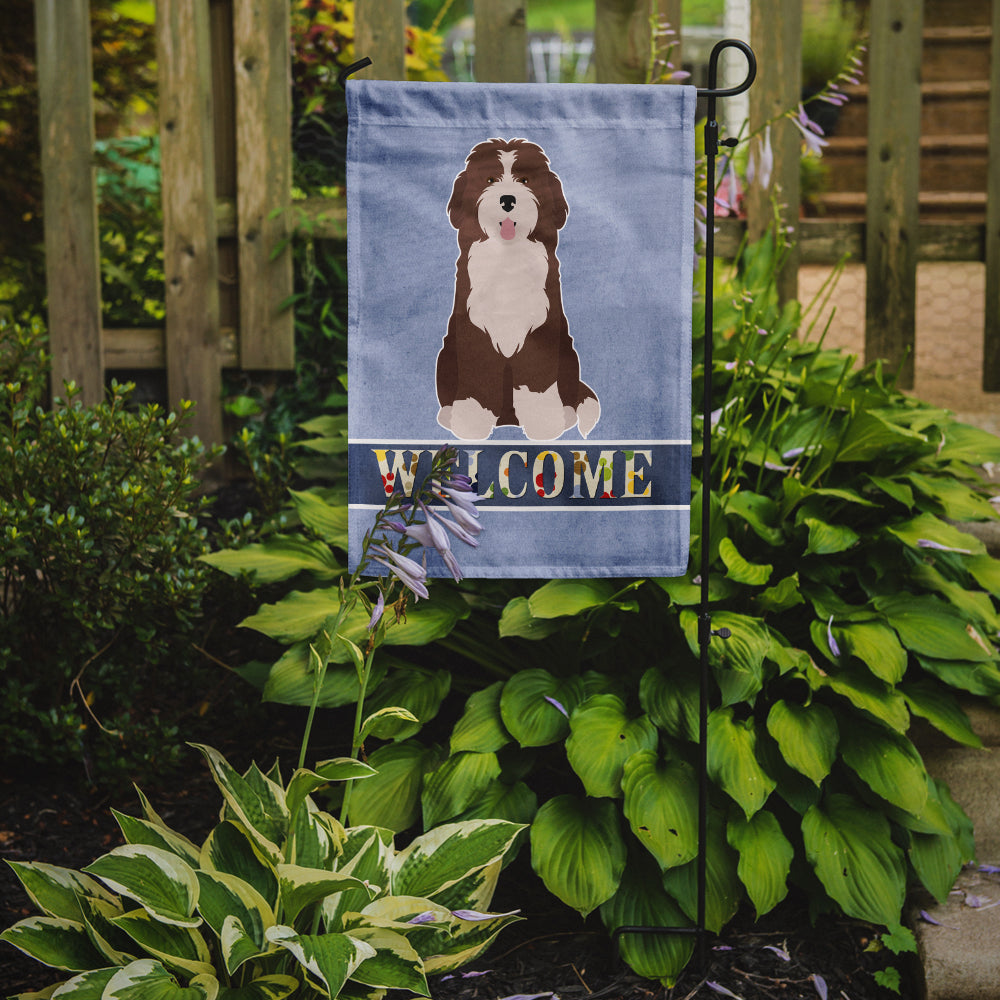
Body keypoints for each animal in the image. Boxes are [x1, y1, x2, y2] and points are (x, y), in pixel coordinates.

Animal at [432, 138, 600, 442]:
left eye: (525, 180)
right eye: (489, 179)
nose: (508, 200)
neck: (508, 257)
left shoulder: (543, 328)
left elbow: (537, 380)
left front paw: (544, 424)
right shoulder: (473, 329)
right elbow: (477, 380)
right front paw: (471, 424)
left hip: (568, 350)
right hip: (446, 351)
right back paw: (449, 414)